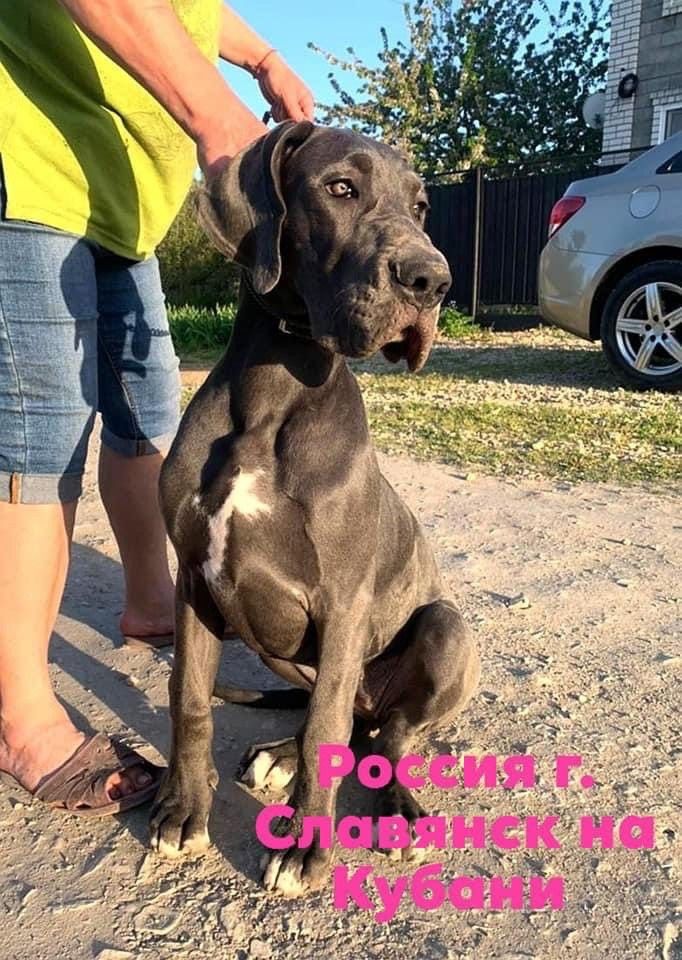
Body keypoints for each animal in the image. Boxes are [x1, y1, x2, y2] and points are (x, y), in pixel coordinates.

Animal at [150, 122, 481, 897]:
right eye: (341, 188)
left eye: (421, 206)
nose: (432, 281)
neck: (275, 385)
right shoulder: (195, 581)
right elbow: (189, 699)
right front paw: (183, 810)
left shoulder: (343, 601)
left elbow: (327, 724)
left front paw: (306, 846)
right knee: (343, 722)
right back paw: (279, 753)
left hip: (444, 628)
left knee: (382, 734)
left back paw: (397, 809)